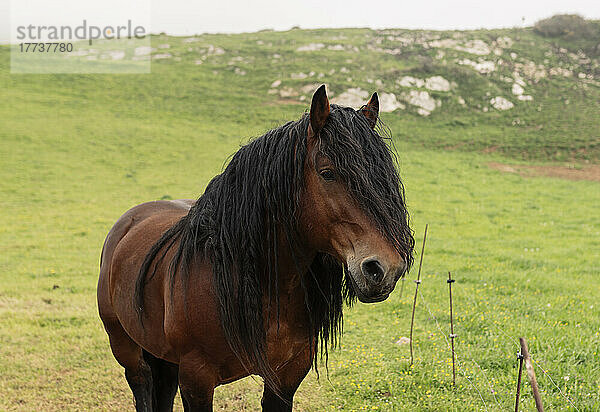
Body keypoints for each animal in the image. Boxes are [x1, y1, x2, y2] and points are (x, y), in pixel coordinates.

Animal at [99, 85, 418, 410]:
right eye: (327, 172)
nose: (385, 268)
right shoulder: (196, 378)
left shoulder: (286, 376)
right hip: (126, 348)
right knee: (141, 383)